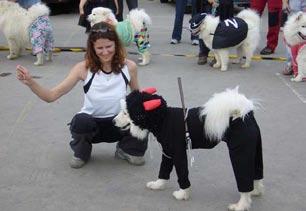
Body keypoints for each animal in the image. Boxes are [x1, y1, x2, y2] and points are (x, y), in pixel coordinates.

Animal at [113, 87, 264, 211]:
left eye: (126, 113)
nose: (113, 121)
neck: (162, 119)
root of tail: (245, 112)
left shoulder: (178, 153)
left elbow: (182, 174)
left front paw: (183, 194)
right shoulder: (168, 152)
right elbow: (163, 170)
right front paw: (158, 185)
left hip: (240, 153)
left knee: (244, 181)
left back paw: (241, 205)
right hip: (256, 151)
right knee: (257, 174)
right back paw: (255, 191)